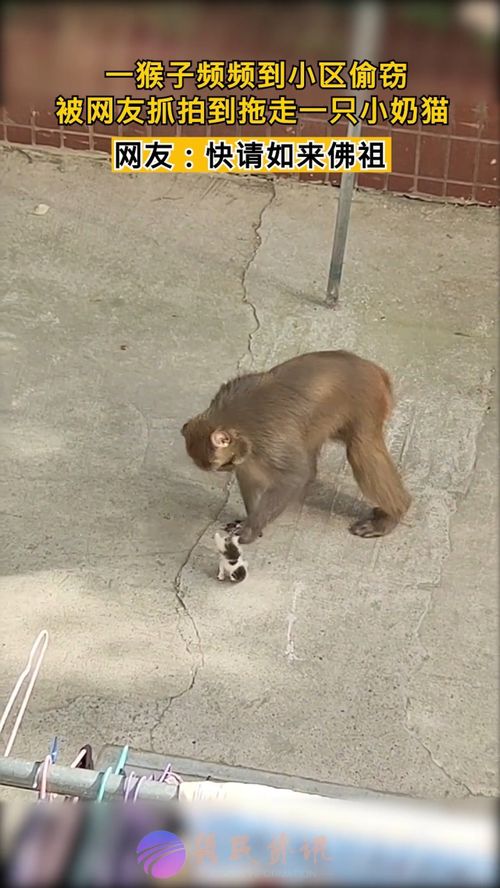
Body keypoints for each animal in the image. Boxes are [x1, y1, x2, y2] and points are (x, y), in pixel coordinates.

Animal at [180, 350, 410, 544]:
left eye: (221, 464)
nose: (227, 468)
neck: (230, 419)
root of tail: (373, 369)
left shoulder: (268, 440)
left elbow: (294, 476)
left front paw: (251, 528)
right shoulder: (250, 452)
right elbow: (250, 476)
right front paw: (249, 520)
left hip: (366, 402)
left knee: (360, 450)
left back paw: (393, 514)